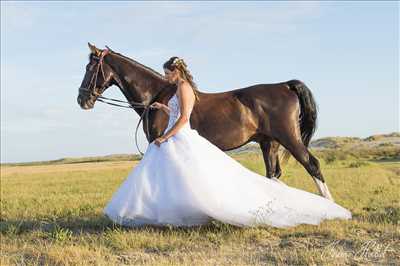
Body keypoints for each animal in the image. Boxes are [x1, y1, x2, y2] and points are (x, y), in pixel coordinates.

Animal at [78, 43, 334, 201]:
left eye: (90, 67)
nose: (82, 100)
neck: (157, 94)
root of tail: (285, 85)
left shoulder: (158, 142)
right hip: (268, 143)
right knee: (273, 175)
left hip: (289, 138)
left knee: (313, 165)